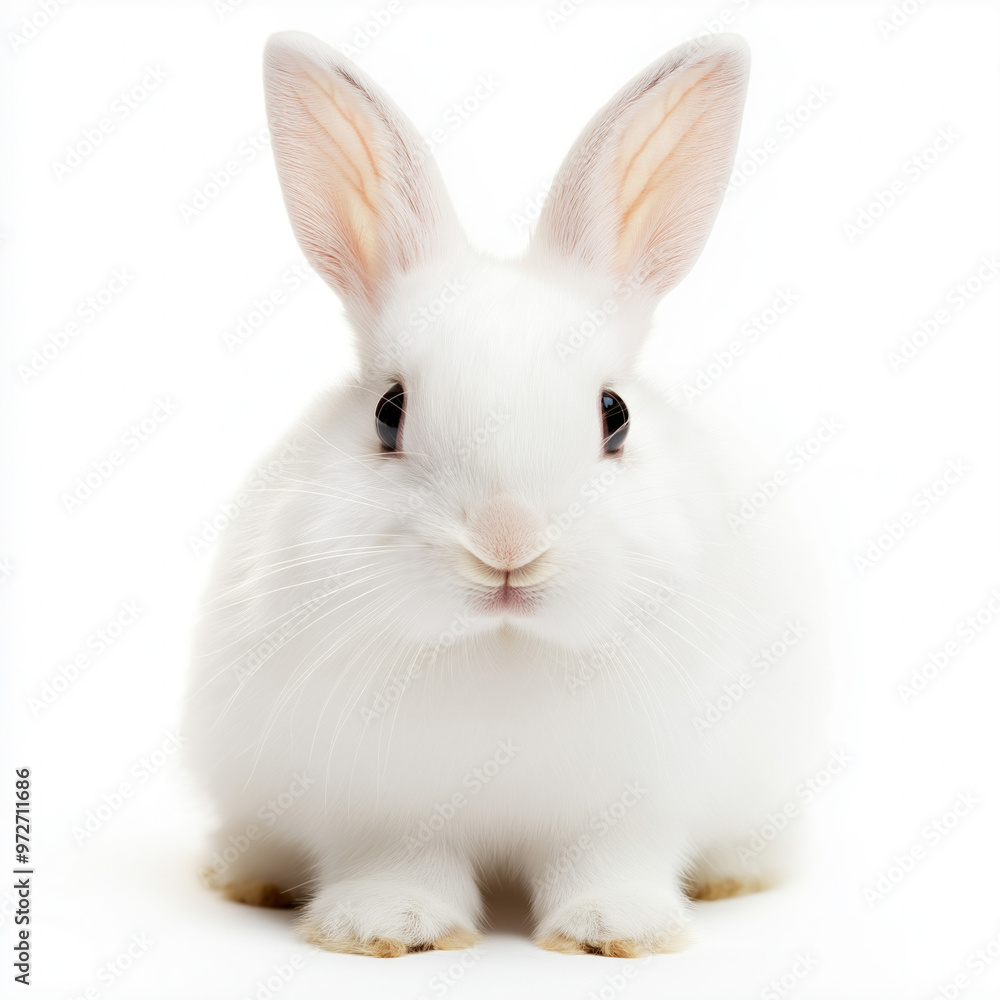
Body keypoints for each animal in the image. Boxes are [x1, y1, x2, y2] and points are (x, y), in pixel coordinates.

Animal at [183, 29, 830, 959]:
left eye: (614, 413)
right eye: (388, 411)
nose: (507, 541)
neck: (500, 649)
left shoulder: (628, 810)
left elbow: (612, 864)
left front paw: (613, 933)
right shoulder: (380, 812)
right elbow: (397, 863)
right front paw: (391, 928)